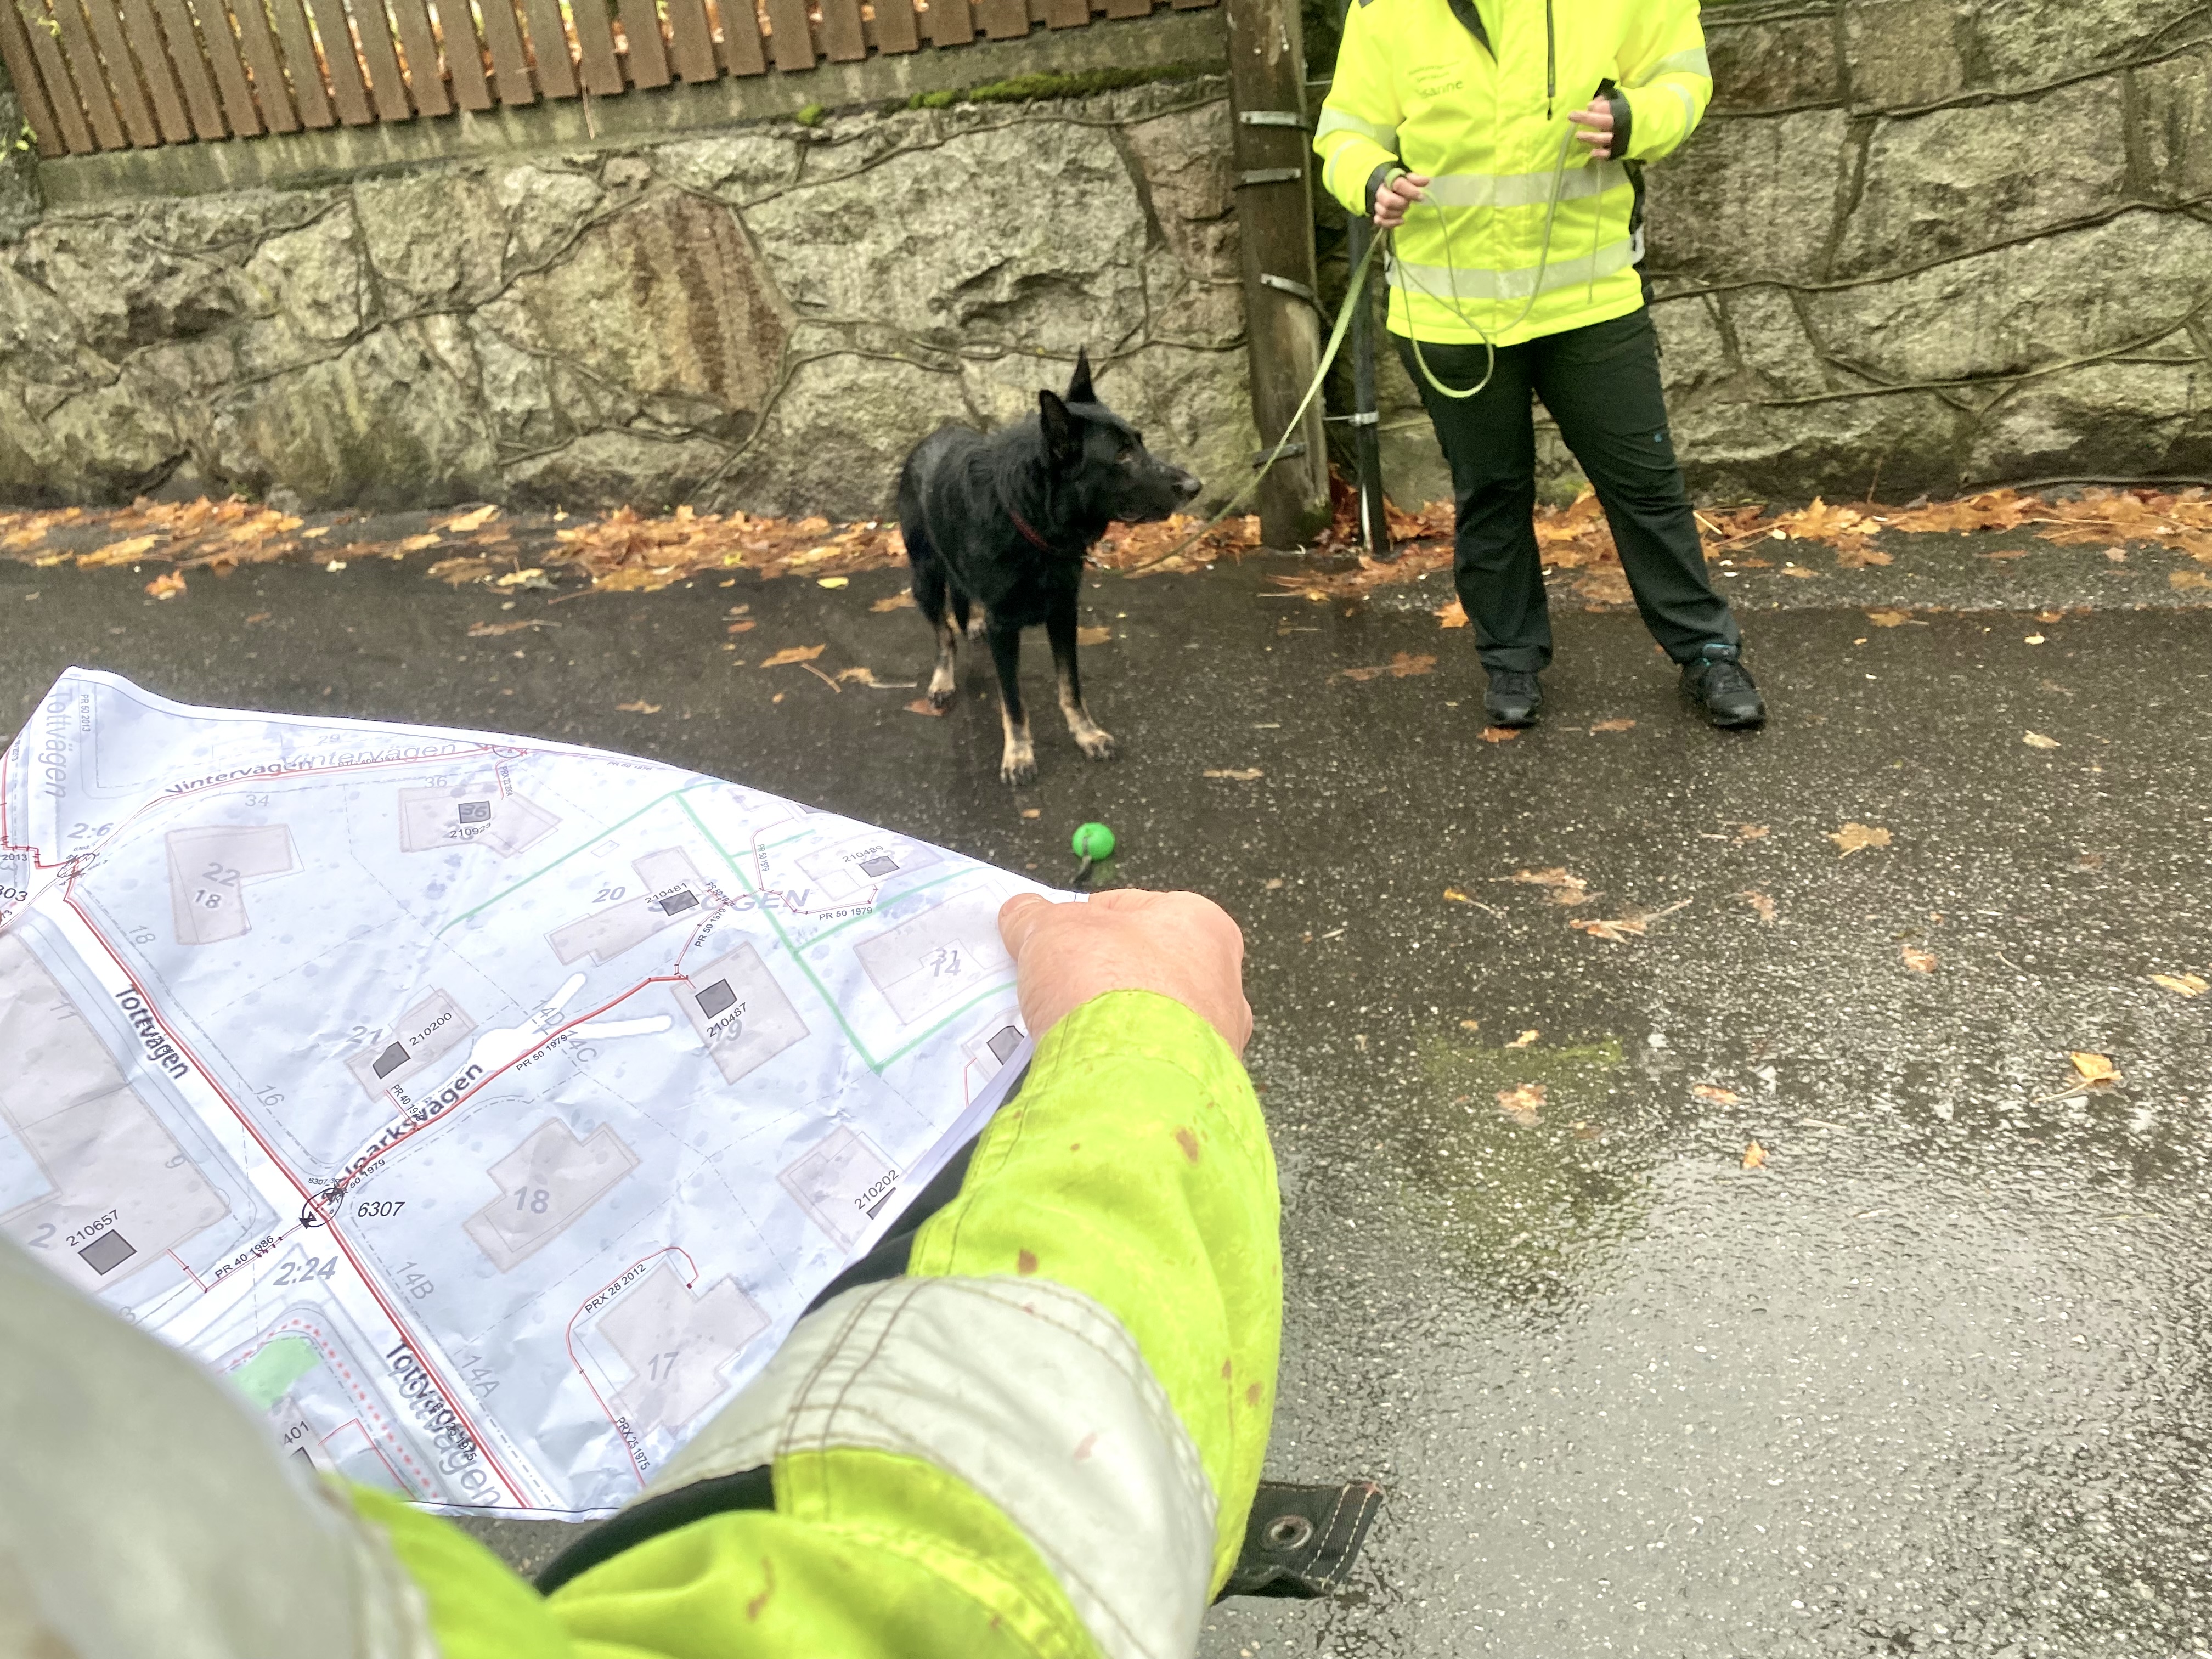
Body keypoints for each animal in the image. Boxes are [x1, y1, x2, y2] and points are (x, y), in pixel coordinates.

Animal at [893, 349, 1203, 787]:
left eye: (1140, 442)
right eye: (1122, 454)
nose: (1195, 487)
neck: (1030, 520)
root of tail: (929, 439)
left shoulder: (1063, 612)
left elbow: (1070, 687)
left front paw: (1087, 734)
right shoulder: (1005, 628)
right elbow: (1013, 701)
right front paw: (1019, 754)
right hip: (925, 579)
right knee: (944, 635)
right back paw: (943, 678)